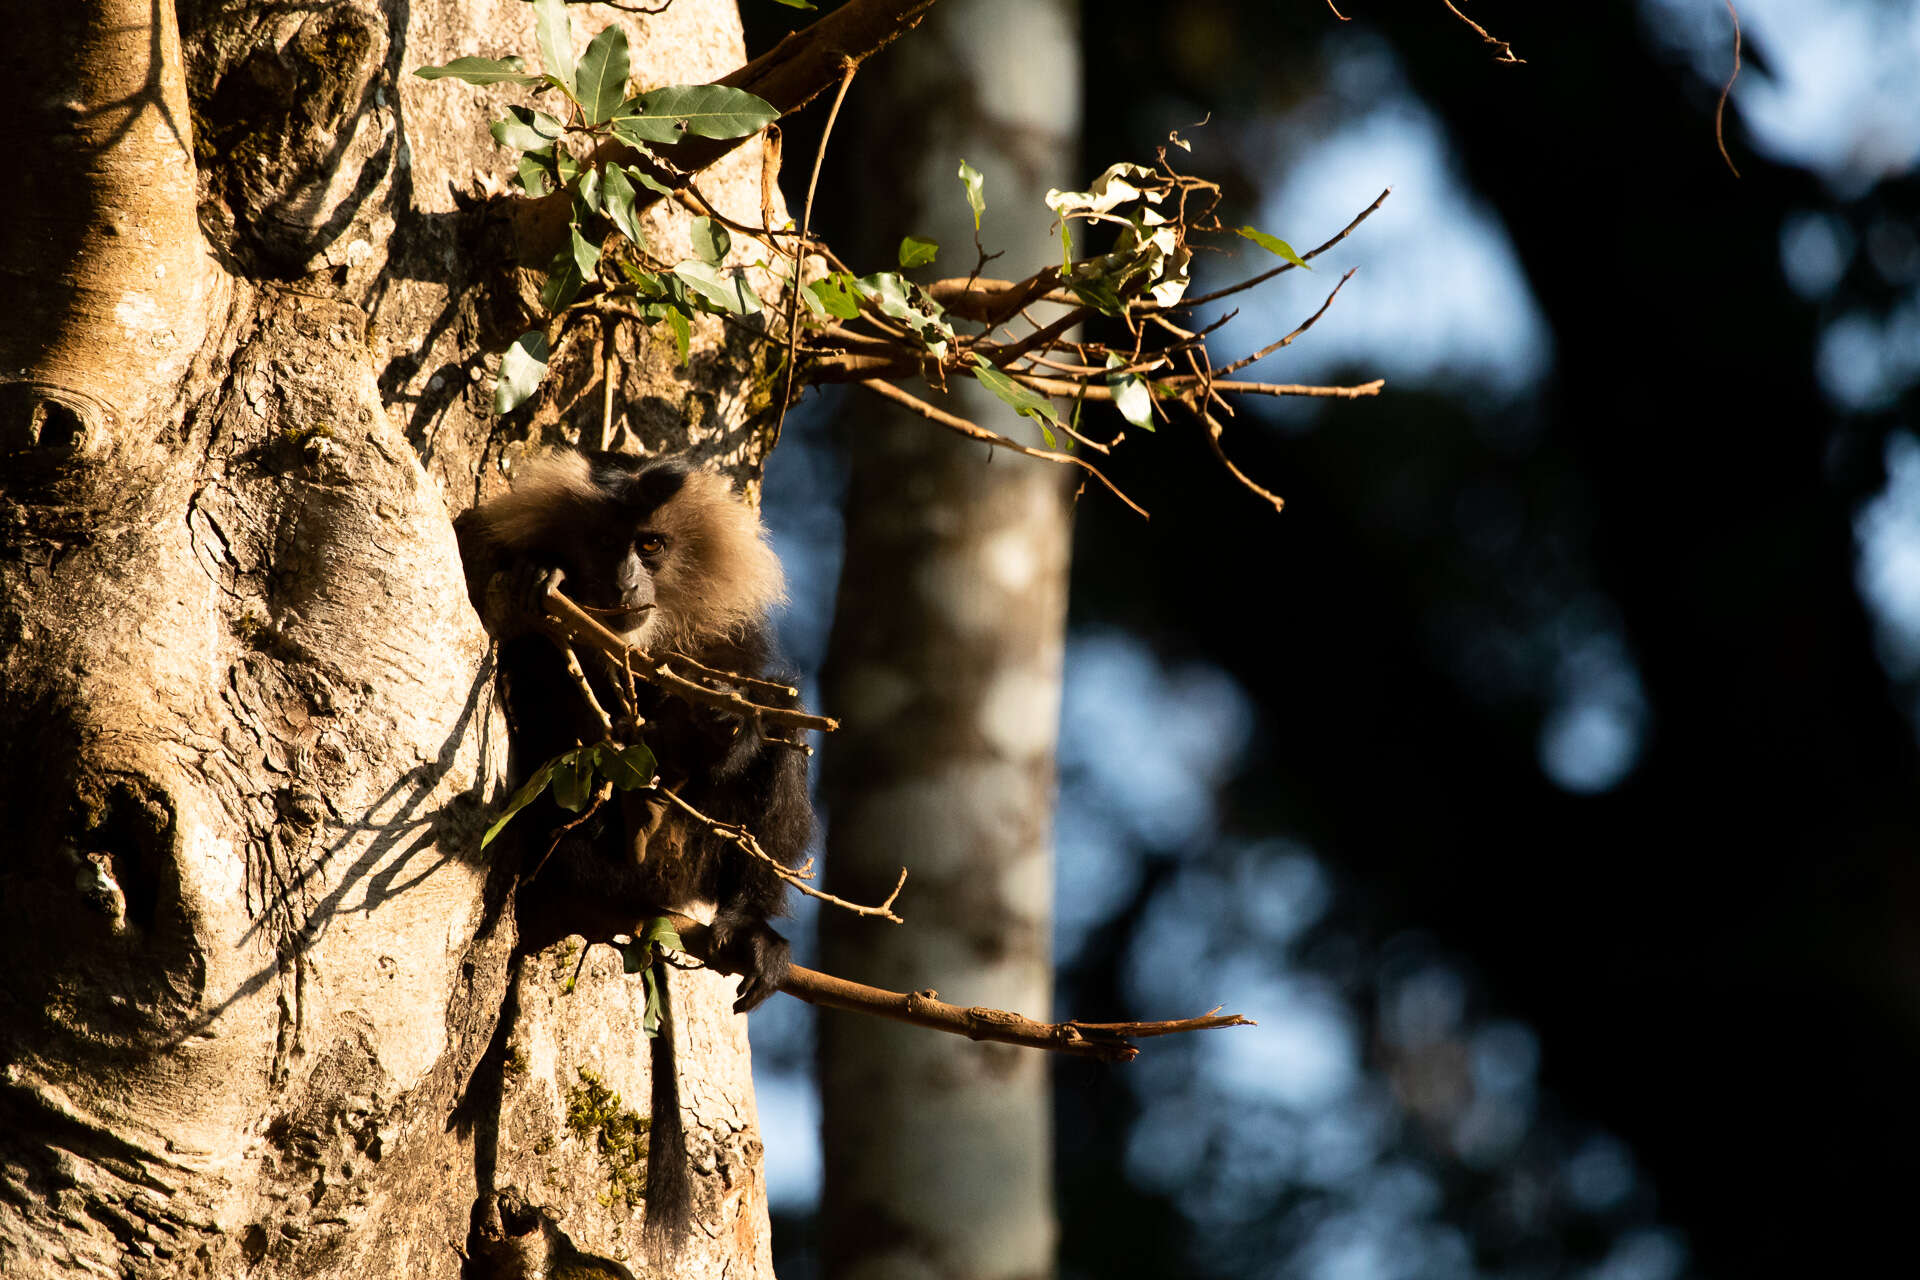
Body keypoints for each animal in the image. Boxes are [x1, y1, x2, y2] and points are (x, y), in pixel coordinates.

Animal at [456, 449, 810, 1013]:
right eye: (603, 543)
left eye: (650, 545)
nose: (625, 584)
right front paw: (539, 575)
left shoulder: (732, 638)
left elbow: (751, 702)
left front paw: (722, 725)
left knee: (784, 718)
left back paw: (749, 930)